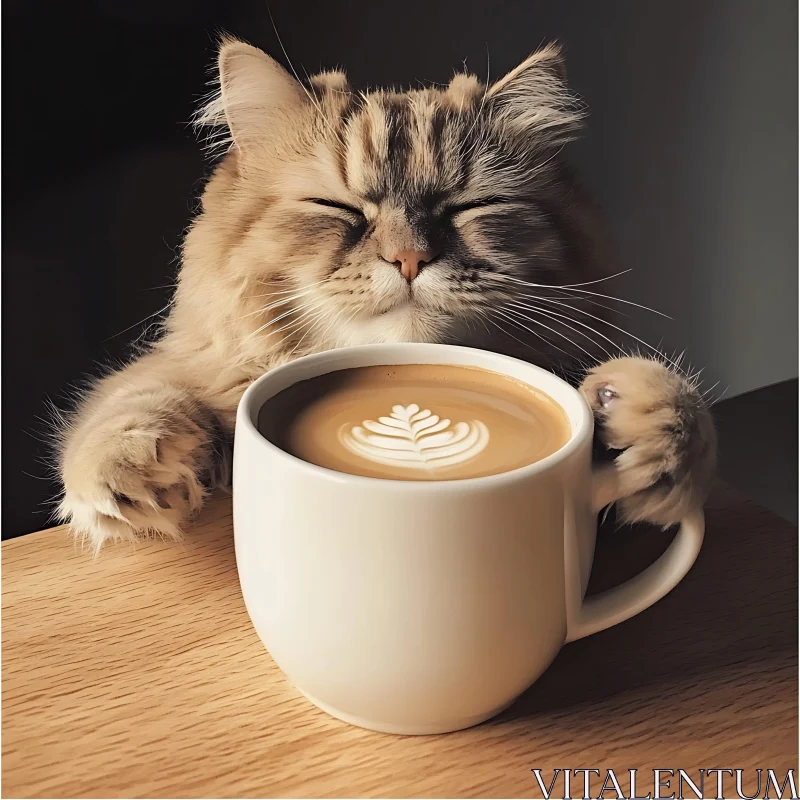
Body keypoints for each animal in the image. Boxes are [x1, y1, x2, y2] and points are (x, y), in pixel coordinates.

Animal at [57, 37, 720, 552]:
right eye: (337, 208)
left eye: (471, 206)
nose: (409, 259)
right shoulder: (184, 362)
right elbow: (136, 400)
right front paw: (132, 464)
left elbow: (678, 402)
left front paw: (654, 429)